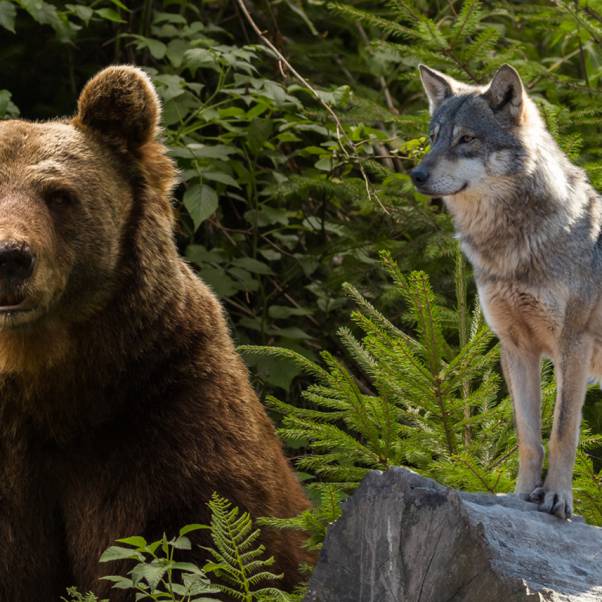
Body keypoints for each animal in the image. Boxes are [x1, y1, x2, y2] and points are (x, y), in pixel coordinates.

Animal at [410, 64, 596, 516]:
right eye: (433, 137)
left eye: (466, 139)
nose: (416, 175)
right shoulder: (516, 348)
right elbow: (528, 437)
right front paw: (521, 496)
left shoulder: (573, 347)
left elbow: (562, 433)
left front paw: (558, 498)